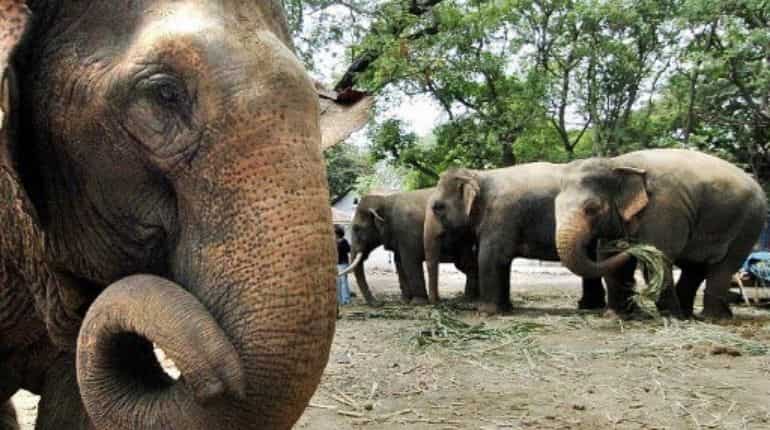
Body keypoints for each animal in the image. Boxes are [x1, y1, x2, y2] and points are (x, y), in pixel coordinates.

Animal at [342, 189, 479, 306]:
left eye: (357, 229)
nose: (379, 303)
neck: (386, 200)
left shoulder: (407, 232)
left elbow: (410, 262)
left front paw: (418, 302)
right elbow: (399, 263)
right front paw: (405, 301)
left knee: (467, 265)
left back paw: (468, 299)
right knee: (468, 266)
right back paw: (469, 298)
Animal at [425, 164, 607, 313]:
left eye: (438, 207)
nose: (439, 303)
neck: (479, 175)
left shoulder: (500, 215)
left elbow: (489, 258)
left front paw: (486, 312)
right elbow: (502, 261)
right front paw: (506, 309)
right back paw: (589, 306)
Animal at [554, 149, 768, 319]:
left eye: (592, 208)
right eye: (555, 207)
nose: (631, 245)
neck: (617, 163)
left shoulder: (664, 208)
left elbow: (658, 260)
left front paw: (671, 318)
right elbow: (608, 258)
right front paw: (615, 316)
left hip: (749, 223)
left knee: (723, 266)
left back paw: (711, 318)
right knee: (695, 267)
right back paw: (689, 315)